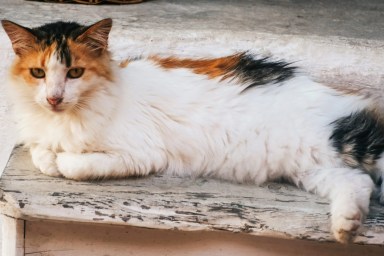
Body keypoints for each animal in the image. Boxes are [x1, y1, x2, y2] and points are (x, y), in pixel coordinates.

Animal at [1, 18, 382, 244]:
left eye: (75, 73)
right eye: (38, 73)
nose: (54, 97)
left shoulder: (142, 153)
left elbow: (72, 165)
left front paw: (61, 159)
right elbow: (40, 152)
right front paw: (48, 155)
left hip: (351, 144)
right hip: (313, 167)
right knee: (357, 182)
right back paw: (347, 226)